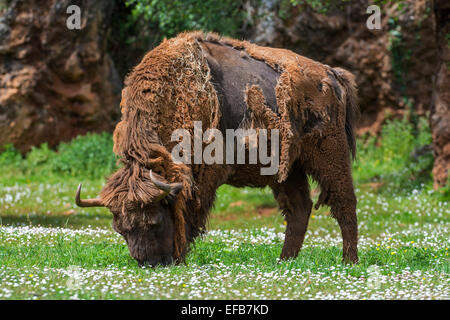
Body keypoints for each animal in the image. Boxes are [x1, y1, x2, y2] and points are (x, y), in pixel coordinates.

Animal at [75, 31, 360, 268]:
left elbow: (190, 212)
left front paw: (181, 256)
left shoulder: (204, 175)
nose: (149, 263)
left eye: (154, 220)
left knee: (343, 201)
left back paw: (349, 261)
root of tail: (331, 74)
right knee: (299, 209)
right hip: (287, 169)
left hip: (329, 154)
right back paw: (284, 261)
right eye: (120, 229)